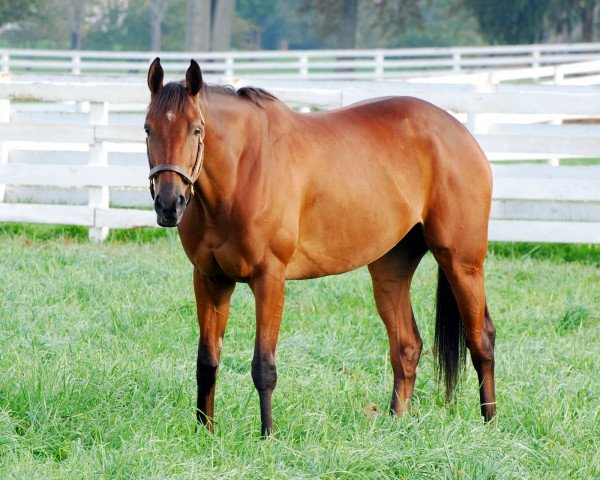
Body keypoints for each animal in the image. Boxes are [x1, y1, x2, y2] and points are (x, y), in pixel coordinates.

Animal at [144, 57, 496, 436]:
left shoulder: (269, 279)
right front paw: (205, 433)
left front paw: (267, 437)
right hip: (390, 268)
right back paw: (396, 424)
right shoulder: (210, 279)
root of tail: (460, 133)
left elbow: (263, 367)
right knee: (406, 346)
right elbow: (207, 361)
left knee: (481, 340)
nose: (169, 204)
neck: (242, 171)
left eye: (197, 129)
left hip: (461, 262)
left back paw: (491, 424)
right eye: (148, 128)